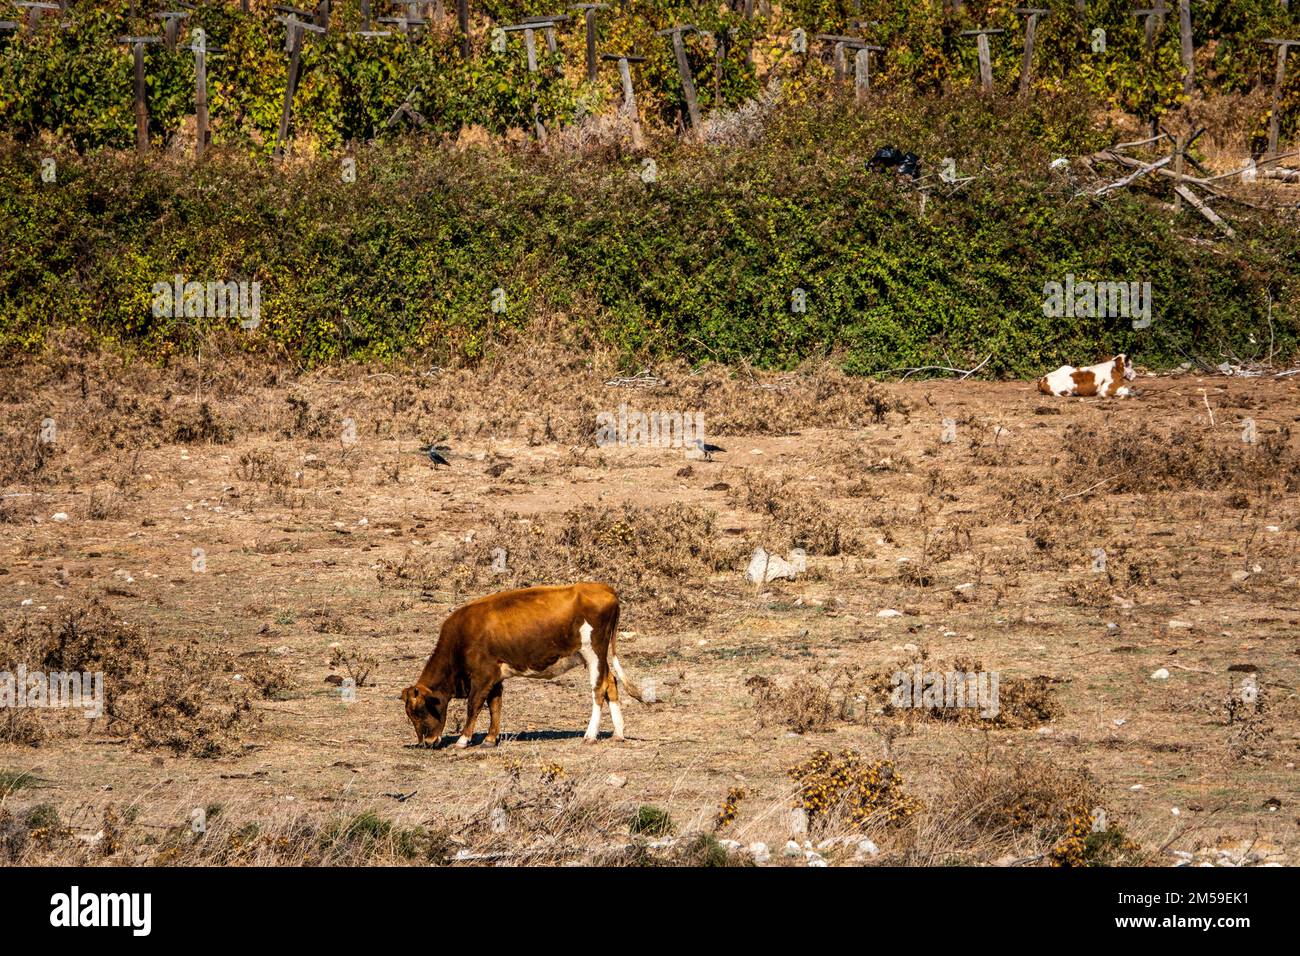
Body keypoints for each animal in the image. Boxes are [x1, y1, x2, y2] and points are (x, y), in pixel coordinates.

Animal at [395, 582, 639, 749]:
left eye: (420, 710)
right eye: (410, 714)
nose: (427, 742)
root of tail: (603, 587)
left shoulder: (482, 675)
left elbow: (474, 705)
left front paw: (463, 740)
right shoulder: (495, 678)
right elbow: (495, 706)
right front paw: (490, 738)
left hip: (593, 651)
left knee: (598, 689)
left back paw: (590, 735)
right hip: (595, 657)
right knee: (611, 682)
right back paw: (618, 733)